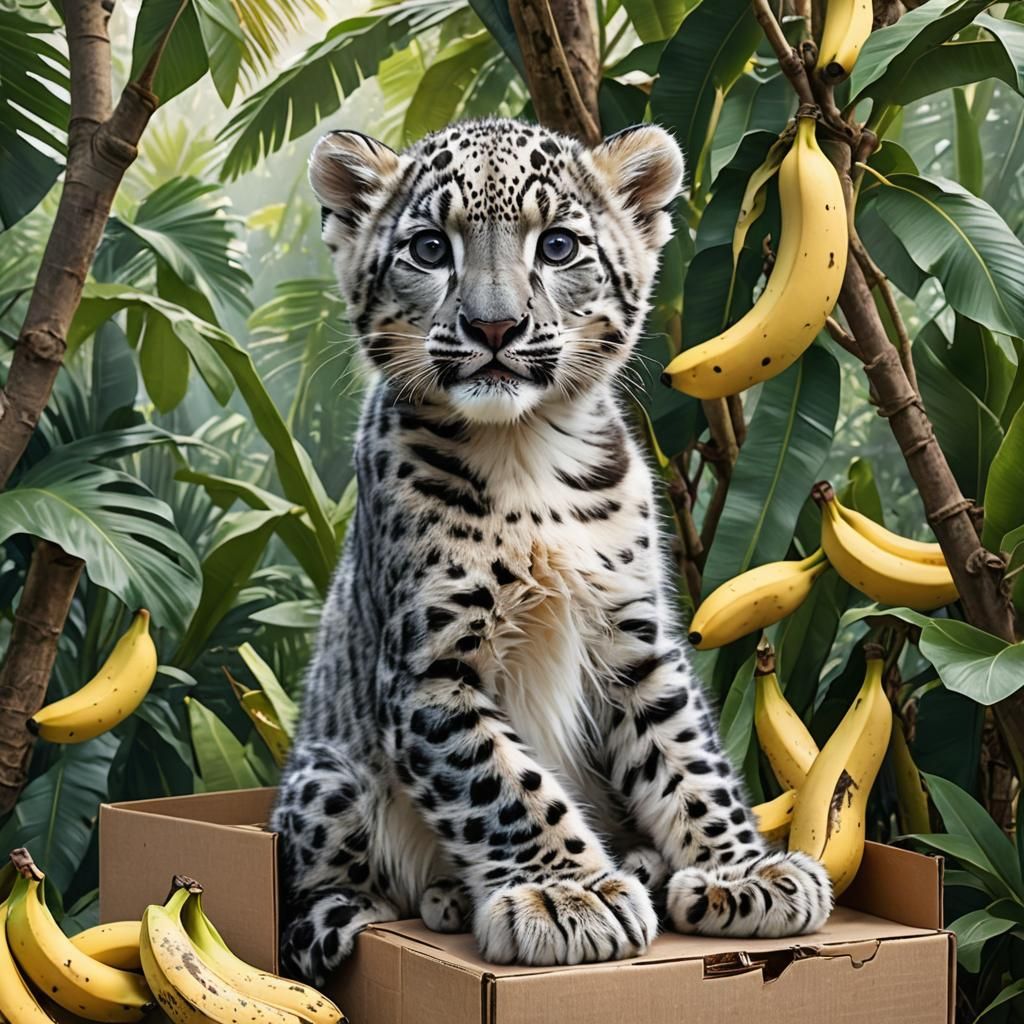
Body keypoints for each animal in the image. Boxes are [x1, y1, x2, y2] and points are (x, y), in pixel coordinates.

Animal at [271, 117, 832, 986]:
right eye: (429, 248)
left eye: (560, 245)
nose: (494, 327)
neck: (526, 450)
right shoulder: (433, 666)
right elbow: (505, 784)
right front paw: (568, 896)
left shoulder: (638, 636)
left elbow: (688, 755)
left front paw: (742, 870)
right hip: (325, 779)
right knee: (319, 888)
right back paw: (416, 903)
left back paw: (637, 862)